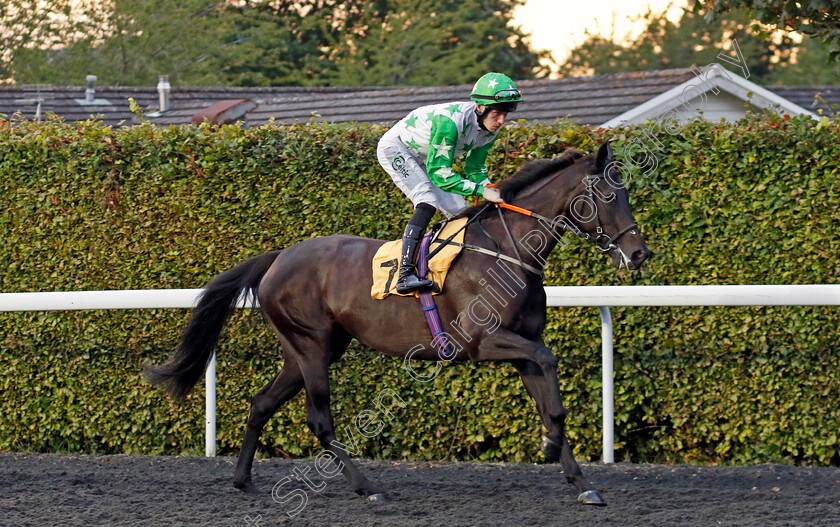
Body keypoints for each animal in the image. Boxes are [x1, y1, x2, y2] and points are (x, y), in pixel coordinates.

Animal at [146, 141, 648, 508]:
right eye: (609, 196)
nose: (640, 253)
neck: (506, 251)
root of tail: (278, 258)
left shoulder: (522, 344)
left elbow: (551, 401)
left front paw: (577, 477)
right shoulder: (482, 341)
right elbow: (549, 364)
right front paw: (549, 447)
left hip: (308, 349)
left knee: (261, 404)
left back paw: (243, 480)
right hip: (312, 346)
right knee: (319, 419)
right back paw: (367, 487)